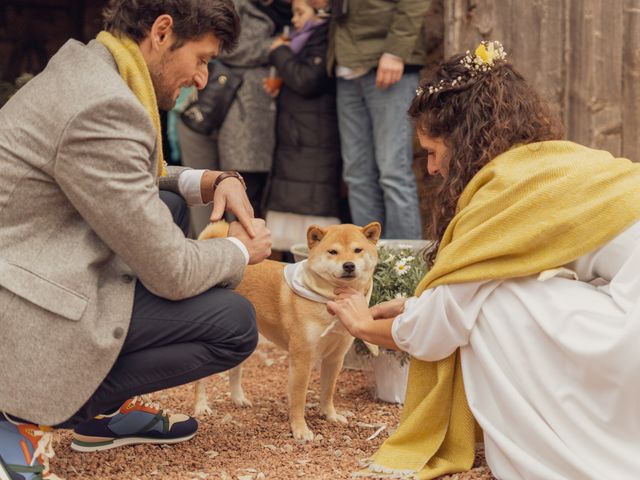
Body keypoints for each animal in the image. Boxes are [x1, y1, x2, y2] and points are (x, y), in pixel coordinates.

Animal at [194, 221, 380, 438]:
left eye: (358, 250)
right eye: (333, 252)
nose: (349, 265)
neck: (331, 300)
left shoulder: (335, 358)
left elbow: (328, 392)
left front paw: (330, 415)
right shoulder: (302, 359)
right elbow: (298, 399)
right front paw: (300, 429)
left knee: (235, 371)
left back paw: (238, 398)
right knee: (201, 380)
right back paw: (201, 406)